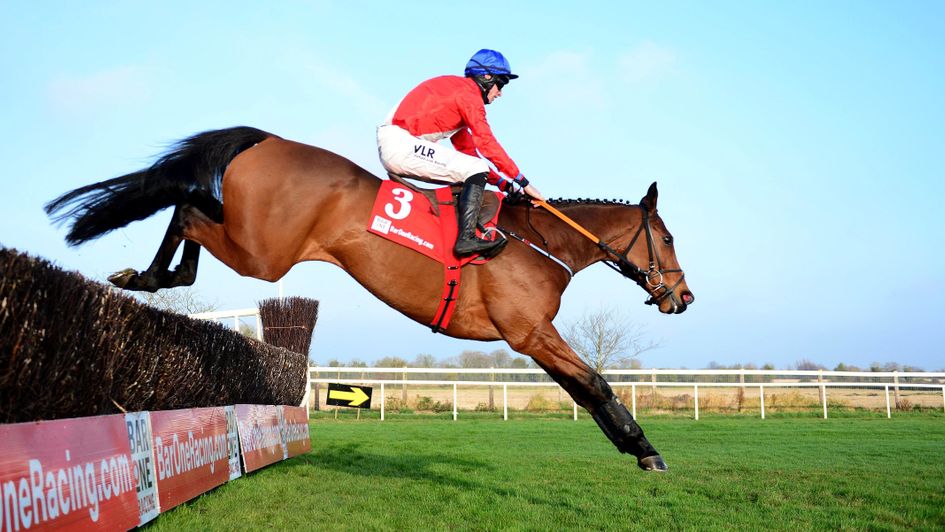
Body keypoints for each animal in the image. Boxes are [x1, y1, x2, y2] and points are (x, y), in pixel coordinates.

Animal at [46, 126, 694, 471]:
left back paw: (156, 276)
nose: (683, 297)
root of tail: (269, 139)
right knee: (186, 209)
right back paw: (153, 277)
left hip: (255, 238)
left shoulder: (531, 339)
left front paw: (635, 447)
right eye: (666, 237)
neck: (541, 241)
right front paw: (647, 451)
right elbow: (597, 383)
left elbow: (584, 390)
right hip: (263, 252)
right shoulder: (530, 332)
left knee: (191, 203)